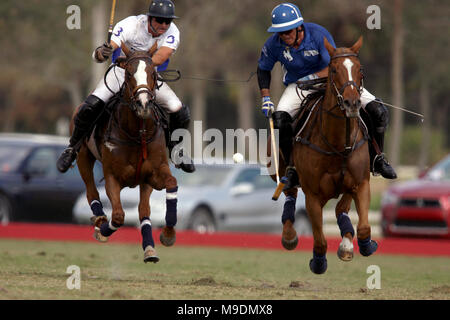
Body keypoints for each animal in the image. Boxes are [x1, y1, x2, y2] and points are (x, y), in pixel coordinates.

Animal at [74, 43, 178, 264]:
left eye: (153, 73)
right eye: (129, 73)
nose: (143, 104)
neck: (137, 133)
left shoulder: (152, 175)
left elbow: (169, 185)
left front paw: (167, 234)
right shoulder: (112, 177)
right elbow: (119, 216)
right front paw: (103, 231)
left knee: (143, 211)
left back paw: (149, 248)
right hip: (83, 157)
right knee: (91, 191)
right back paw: (99, 219)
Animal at [272, 36, 378, 274]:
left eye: (360, 69)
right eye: (334, 70)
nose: (352, 103)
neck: (338, 143)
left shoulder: (360, 182)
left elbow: (363, 226)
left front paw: (363, 245)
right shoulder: (312, 194)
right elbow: (320, 239)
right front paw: (318, 262)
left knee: (340, 208)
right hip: (283, 170)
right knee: (290, 194)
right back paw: (289, 235)